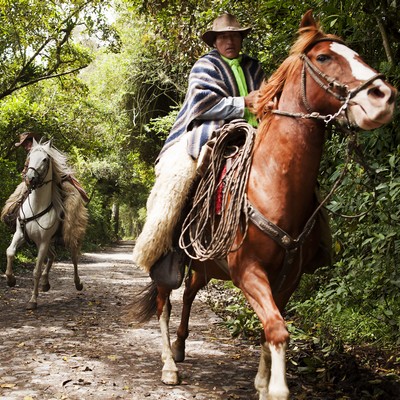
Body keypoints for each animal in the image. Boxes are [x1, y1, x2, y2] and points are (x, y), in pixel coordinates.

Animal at [4, 139, 87, 310]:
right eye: (29, 157)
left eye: (44, 159)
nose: (29, 178)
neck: (37, 206)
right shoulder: (20, 234)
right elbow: (10, 251)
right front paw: (10, 279)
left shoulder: (43, 241)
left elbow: (36, 270)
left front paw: (32, 300)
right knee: (53, 256)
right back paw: (45, 283)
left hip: (67, 236)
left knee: (74, 259)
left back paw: (78, 283)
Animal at [132, 10, 396, 400]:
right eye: (324, 57)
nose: (384, 96)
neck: (273, 184)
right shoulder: (248, 271)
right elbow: (276, 328)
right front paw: (276, 389)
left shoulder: (288, 278)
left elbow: (270, 328)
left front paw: (261, 382)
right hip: (168, 255)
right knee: (165, 302)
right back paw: (168, 365)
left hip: (205, 266)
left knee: (191, 292)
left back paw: (180, 347)